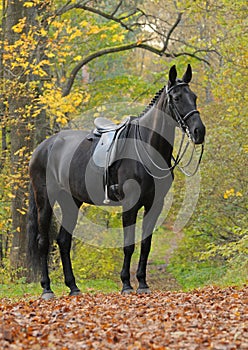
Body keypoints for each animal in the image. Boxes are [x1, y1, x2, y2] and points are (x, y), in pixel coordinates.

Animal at [27, 63, 205, 298]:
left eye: (194, 96)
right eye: (176, 98)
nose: (199, 131)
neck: (146, 146)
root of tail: (43, 146)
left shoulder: (154, 205)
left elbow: (145, 244)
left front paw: (143, 283)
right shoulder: (130, 204)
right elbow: (128, 245)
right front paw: (127, 284)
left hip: (71, 201)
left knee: (63, 242)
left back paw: (73, 287)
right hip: (45, 200)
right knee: (43, 242)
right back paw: (47, 288)